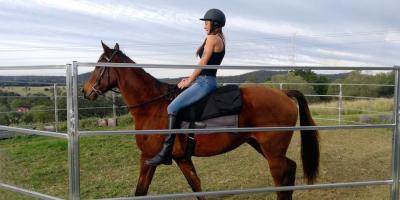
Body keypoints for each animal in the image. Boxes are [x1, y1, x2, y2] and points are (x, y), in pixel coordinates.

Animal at [83, 41, 320, 199]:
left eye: (98, 66)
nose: (85, 91)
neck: (151, 107)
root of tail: (284, 93)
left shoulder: (148, 157)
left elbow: (140, 191)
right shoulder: (182, 159)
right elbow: (196, 186)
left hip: (272, 151)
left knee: (281, 179)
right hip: (262, 146)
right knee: (290, 169)